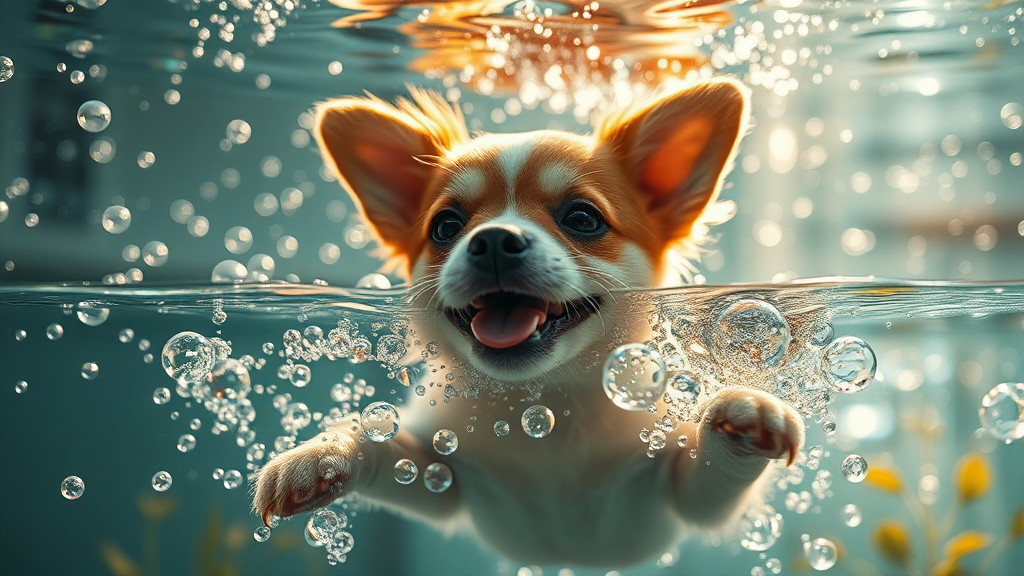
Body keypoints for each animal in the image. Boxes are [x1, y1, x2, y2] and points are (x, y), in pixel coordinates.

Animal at [251, 79, 802, 565]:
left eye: (583, 219)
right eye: (445, 226)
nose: (494, 239)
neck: (545, 411)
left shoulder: (677, 494)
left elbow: (710, 470)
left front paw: (744, 410)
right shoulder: (439, 478)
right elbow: (382, 444)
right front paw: (319, 456)